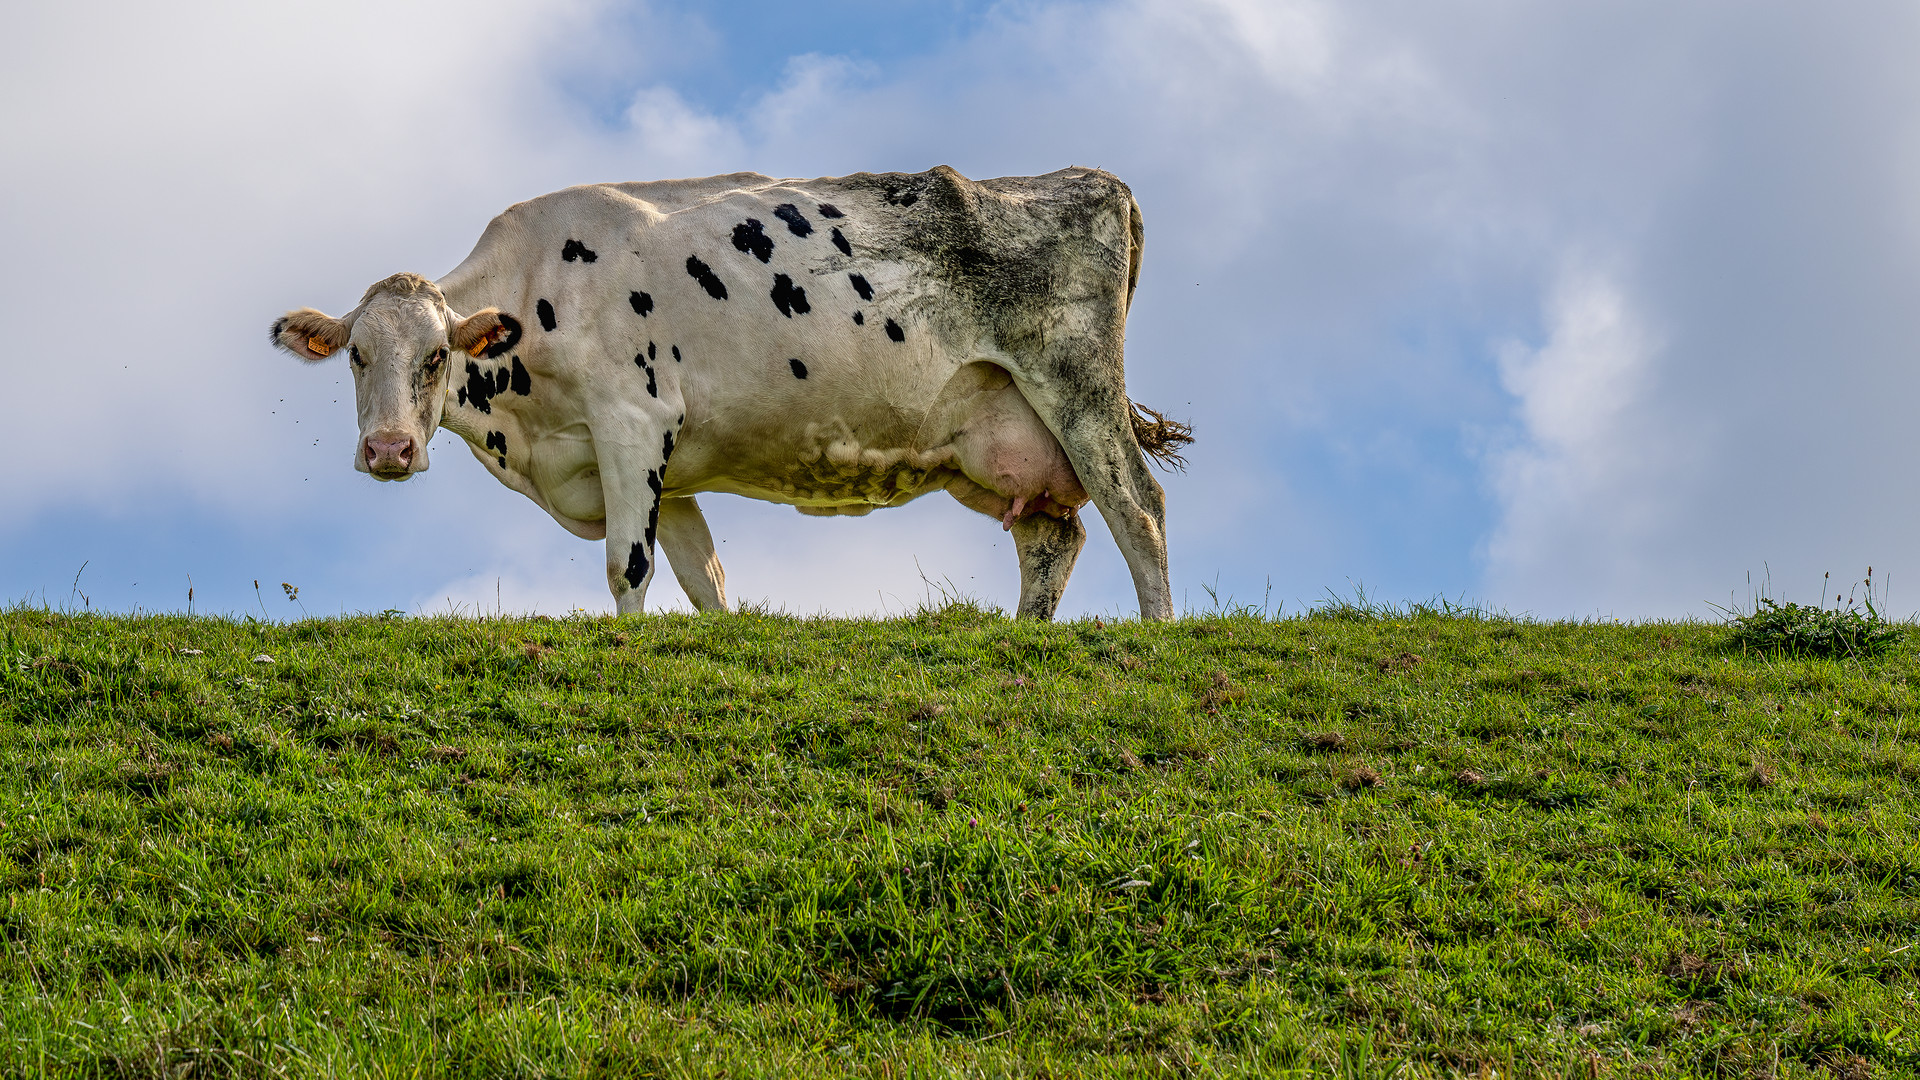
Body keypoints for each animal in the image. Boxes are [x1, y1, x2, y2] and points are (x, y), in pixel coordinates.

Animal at [274, 160, 1182, 614]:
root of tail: (1090, 177)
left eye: (436, 356)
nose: (389, 450)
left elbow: (627, 569)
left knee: (1138, 510)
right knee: (1053, 537)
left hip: (1077, 381)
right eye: (356, 355)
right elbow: (703, 581)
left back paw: (1155, 639)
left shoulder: (633, 420)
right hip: (994, 440)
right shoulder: (663, 473)